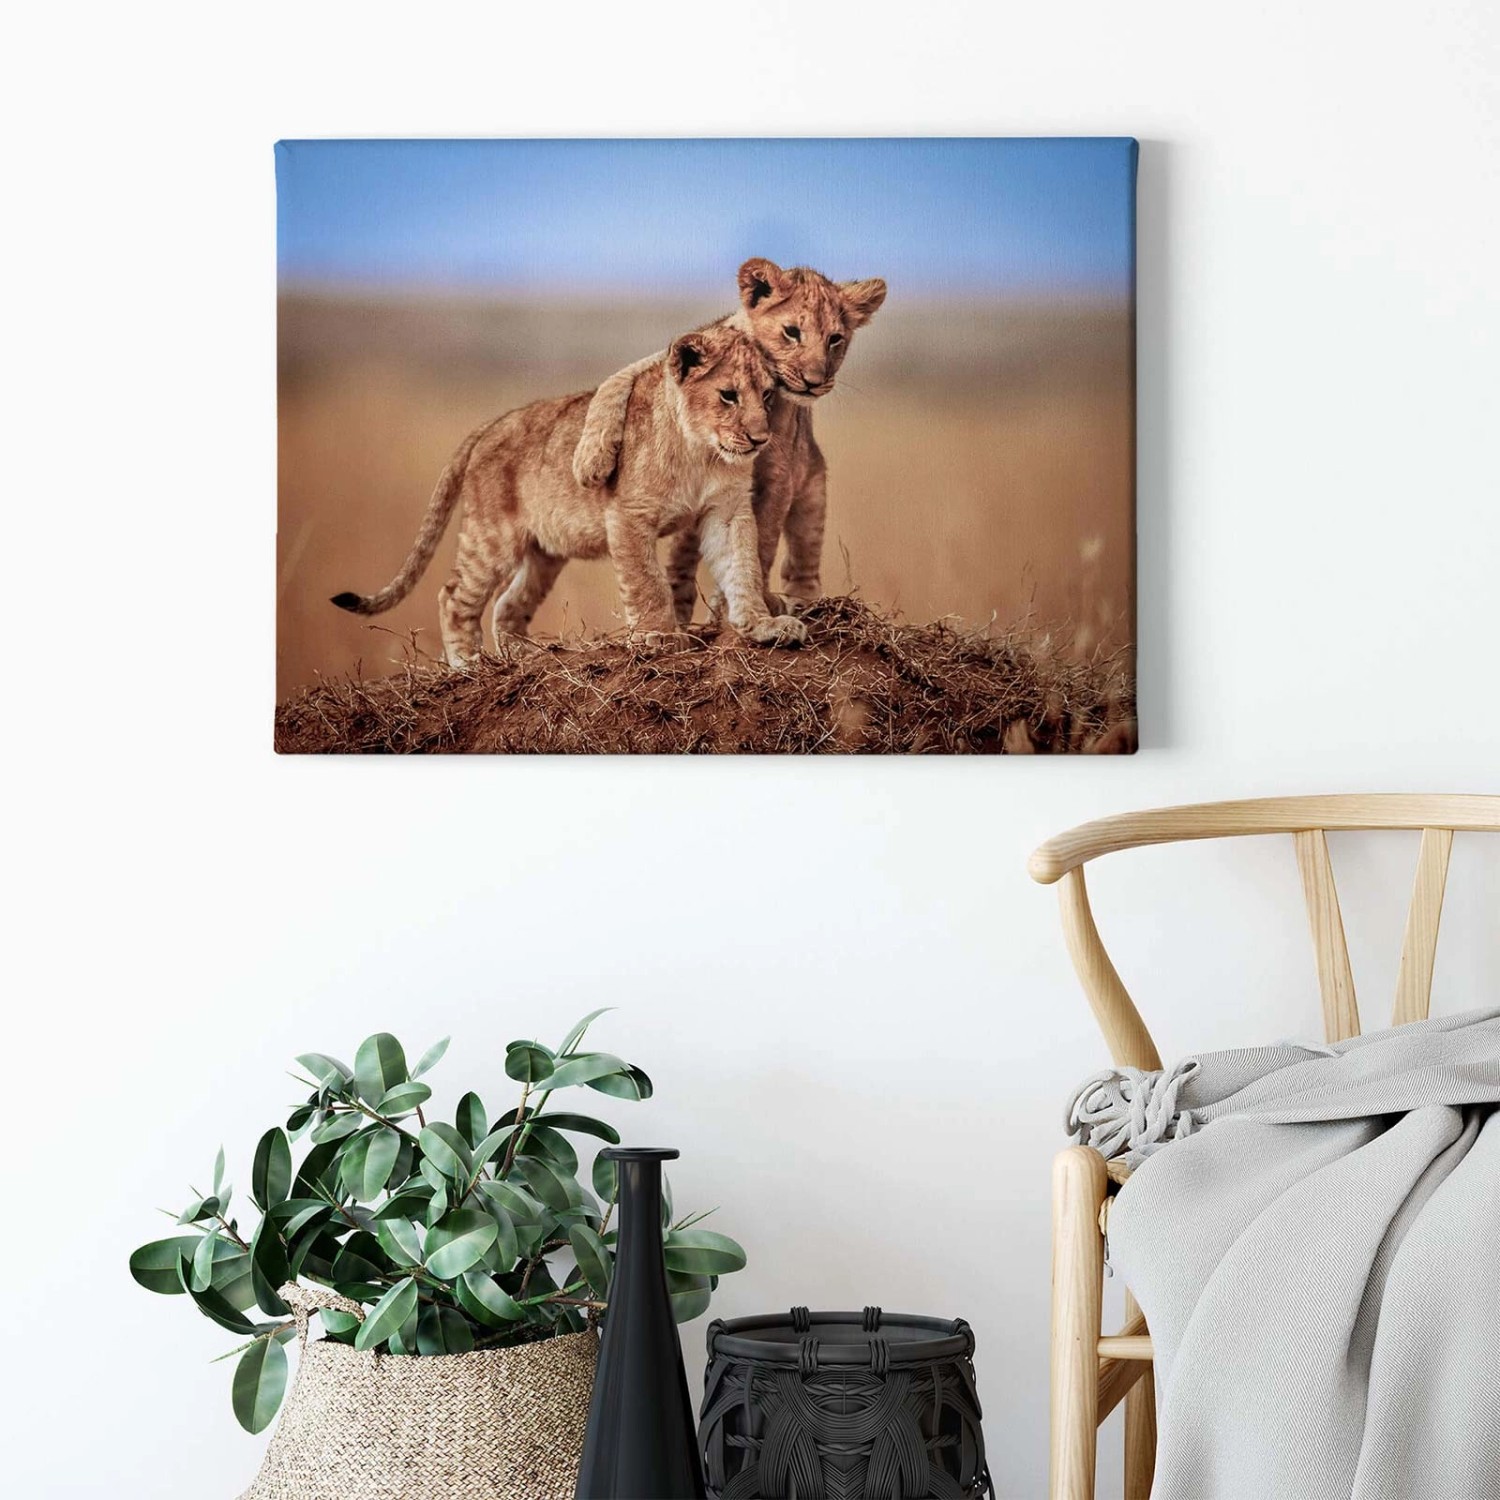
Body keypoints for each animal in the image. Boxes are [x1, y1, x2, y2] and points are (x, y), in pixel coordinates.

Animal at [330, 323, 808, 666]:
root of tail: (491, 424)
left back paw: (526, 655)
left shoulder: (727, 512)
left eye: (767, 395)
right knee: (454, 597)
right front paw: (658, 636)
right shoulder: (628, 514)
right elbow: (647, 582)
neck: (700, 452)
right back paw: (468, 664)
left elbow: (743, 567)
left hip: (545, 553)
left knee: (507, 604)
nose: (760, 439)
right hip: (492, 537)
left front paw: (763, 625)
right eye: (728, 396)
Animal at [571, 257, 886, 622]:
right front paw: (591, 461)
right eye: (792, 332)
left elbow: (761, 543)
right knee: (681, 560)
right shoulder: (671, 360)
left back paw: (802, 603)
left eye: (835, 339)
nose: (814, 381)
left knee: (801, 560)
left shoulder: (779, 476)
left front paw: (746, 606)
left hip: (812, 492)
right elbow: (616, 381)